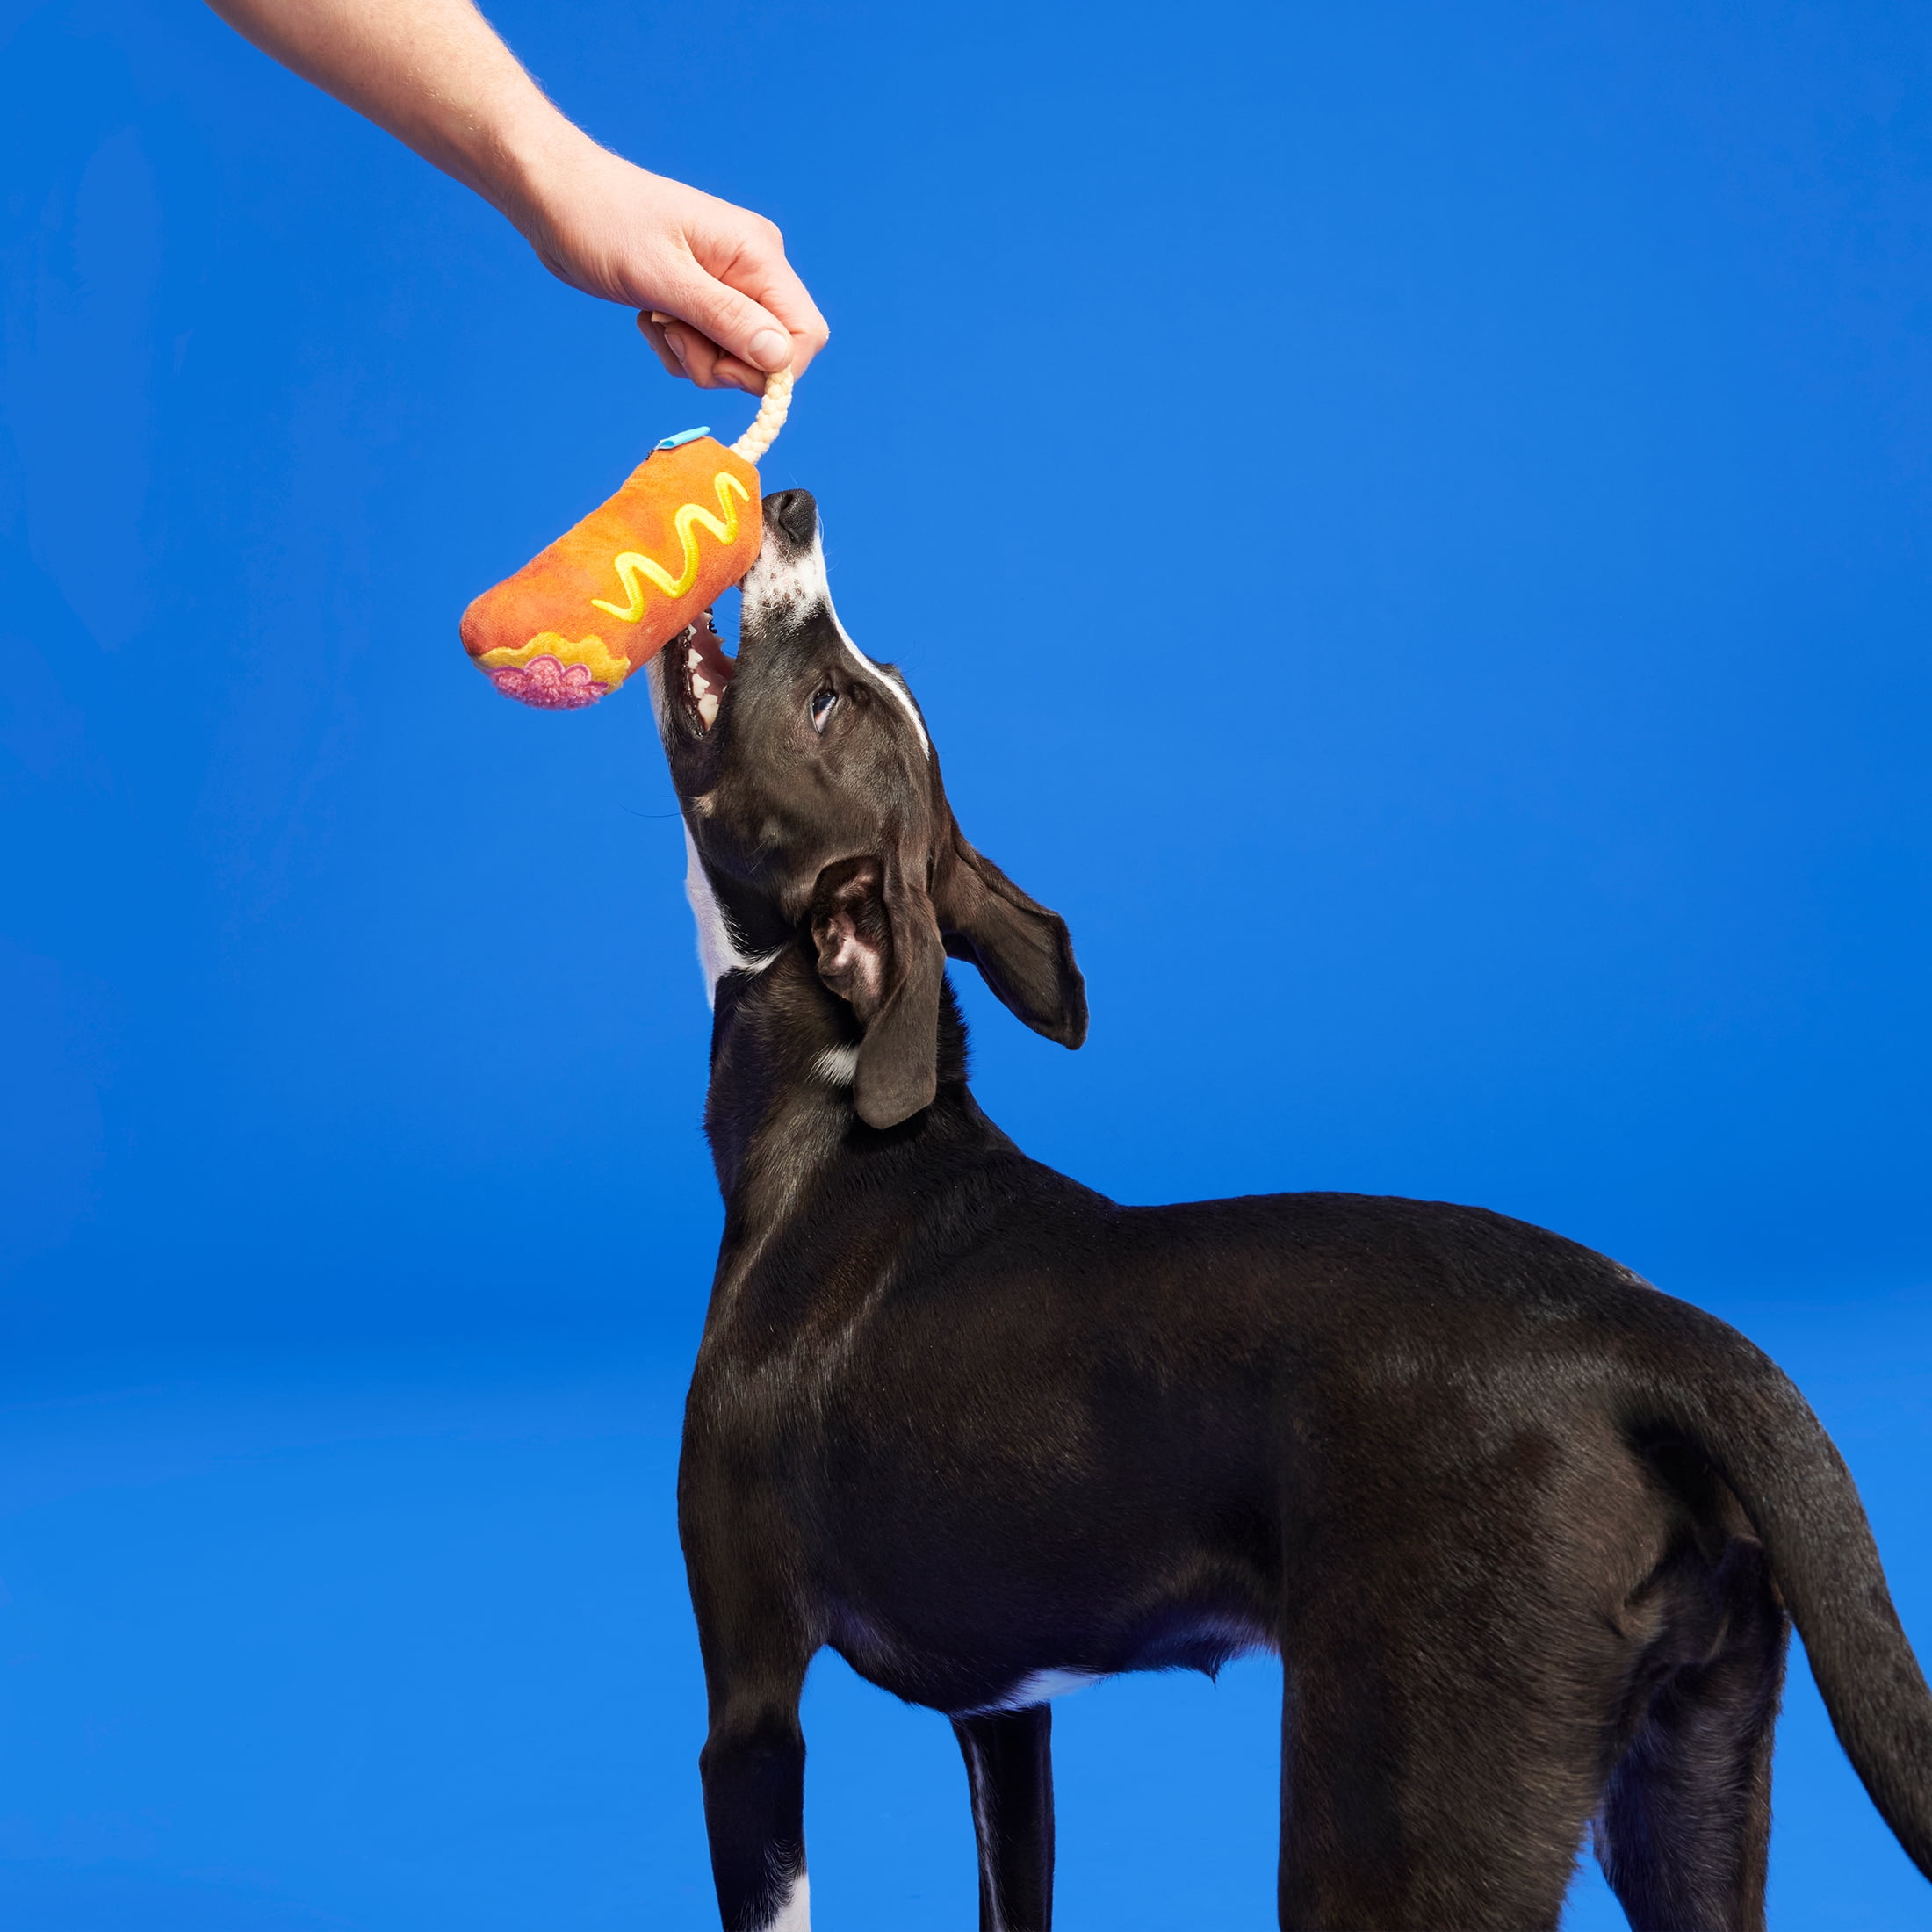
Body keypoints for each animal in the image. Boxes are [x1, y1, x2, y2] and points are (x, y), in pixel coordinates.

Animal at [649, 494, 1932, 1932]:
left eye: (828, 698)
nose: (791, 506)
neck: (836, 1120)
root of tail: (1640, 1330)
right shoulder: (1007, 1719)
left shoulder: (752, 1705)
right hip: (1687, 1780)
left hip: (1391, 1811)